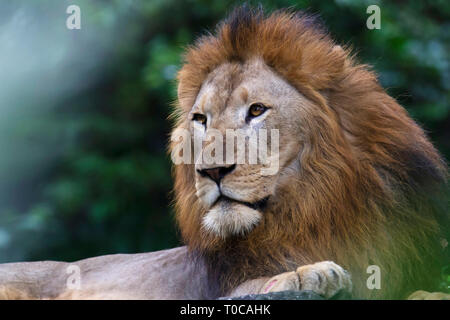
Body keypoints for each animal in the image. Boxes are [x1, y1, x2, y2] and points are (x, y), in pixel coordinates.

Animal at [0, 5, 448, 300]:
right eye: (201, 119)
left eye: (257, 110)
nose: (212, 172)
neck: (314, 207)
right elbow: (257, 283)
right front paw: (306, 274)